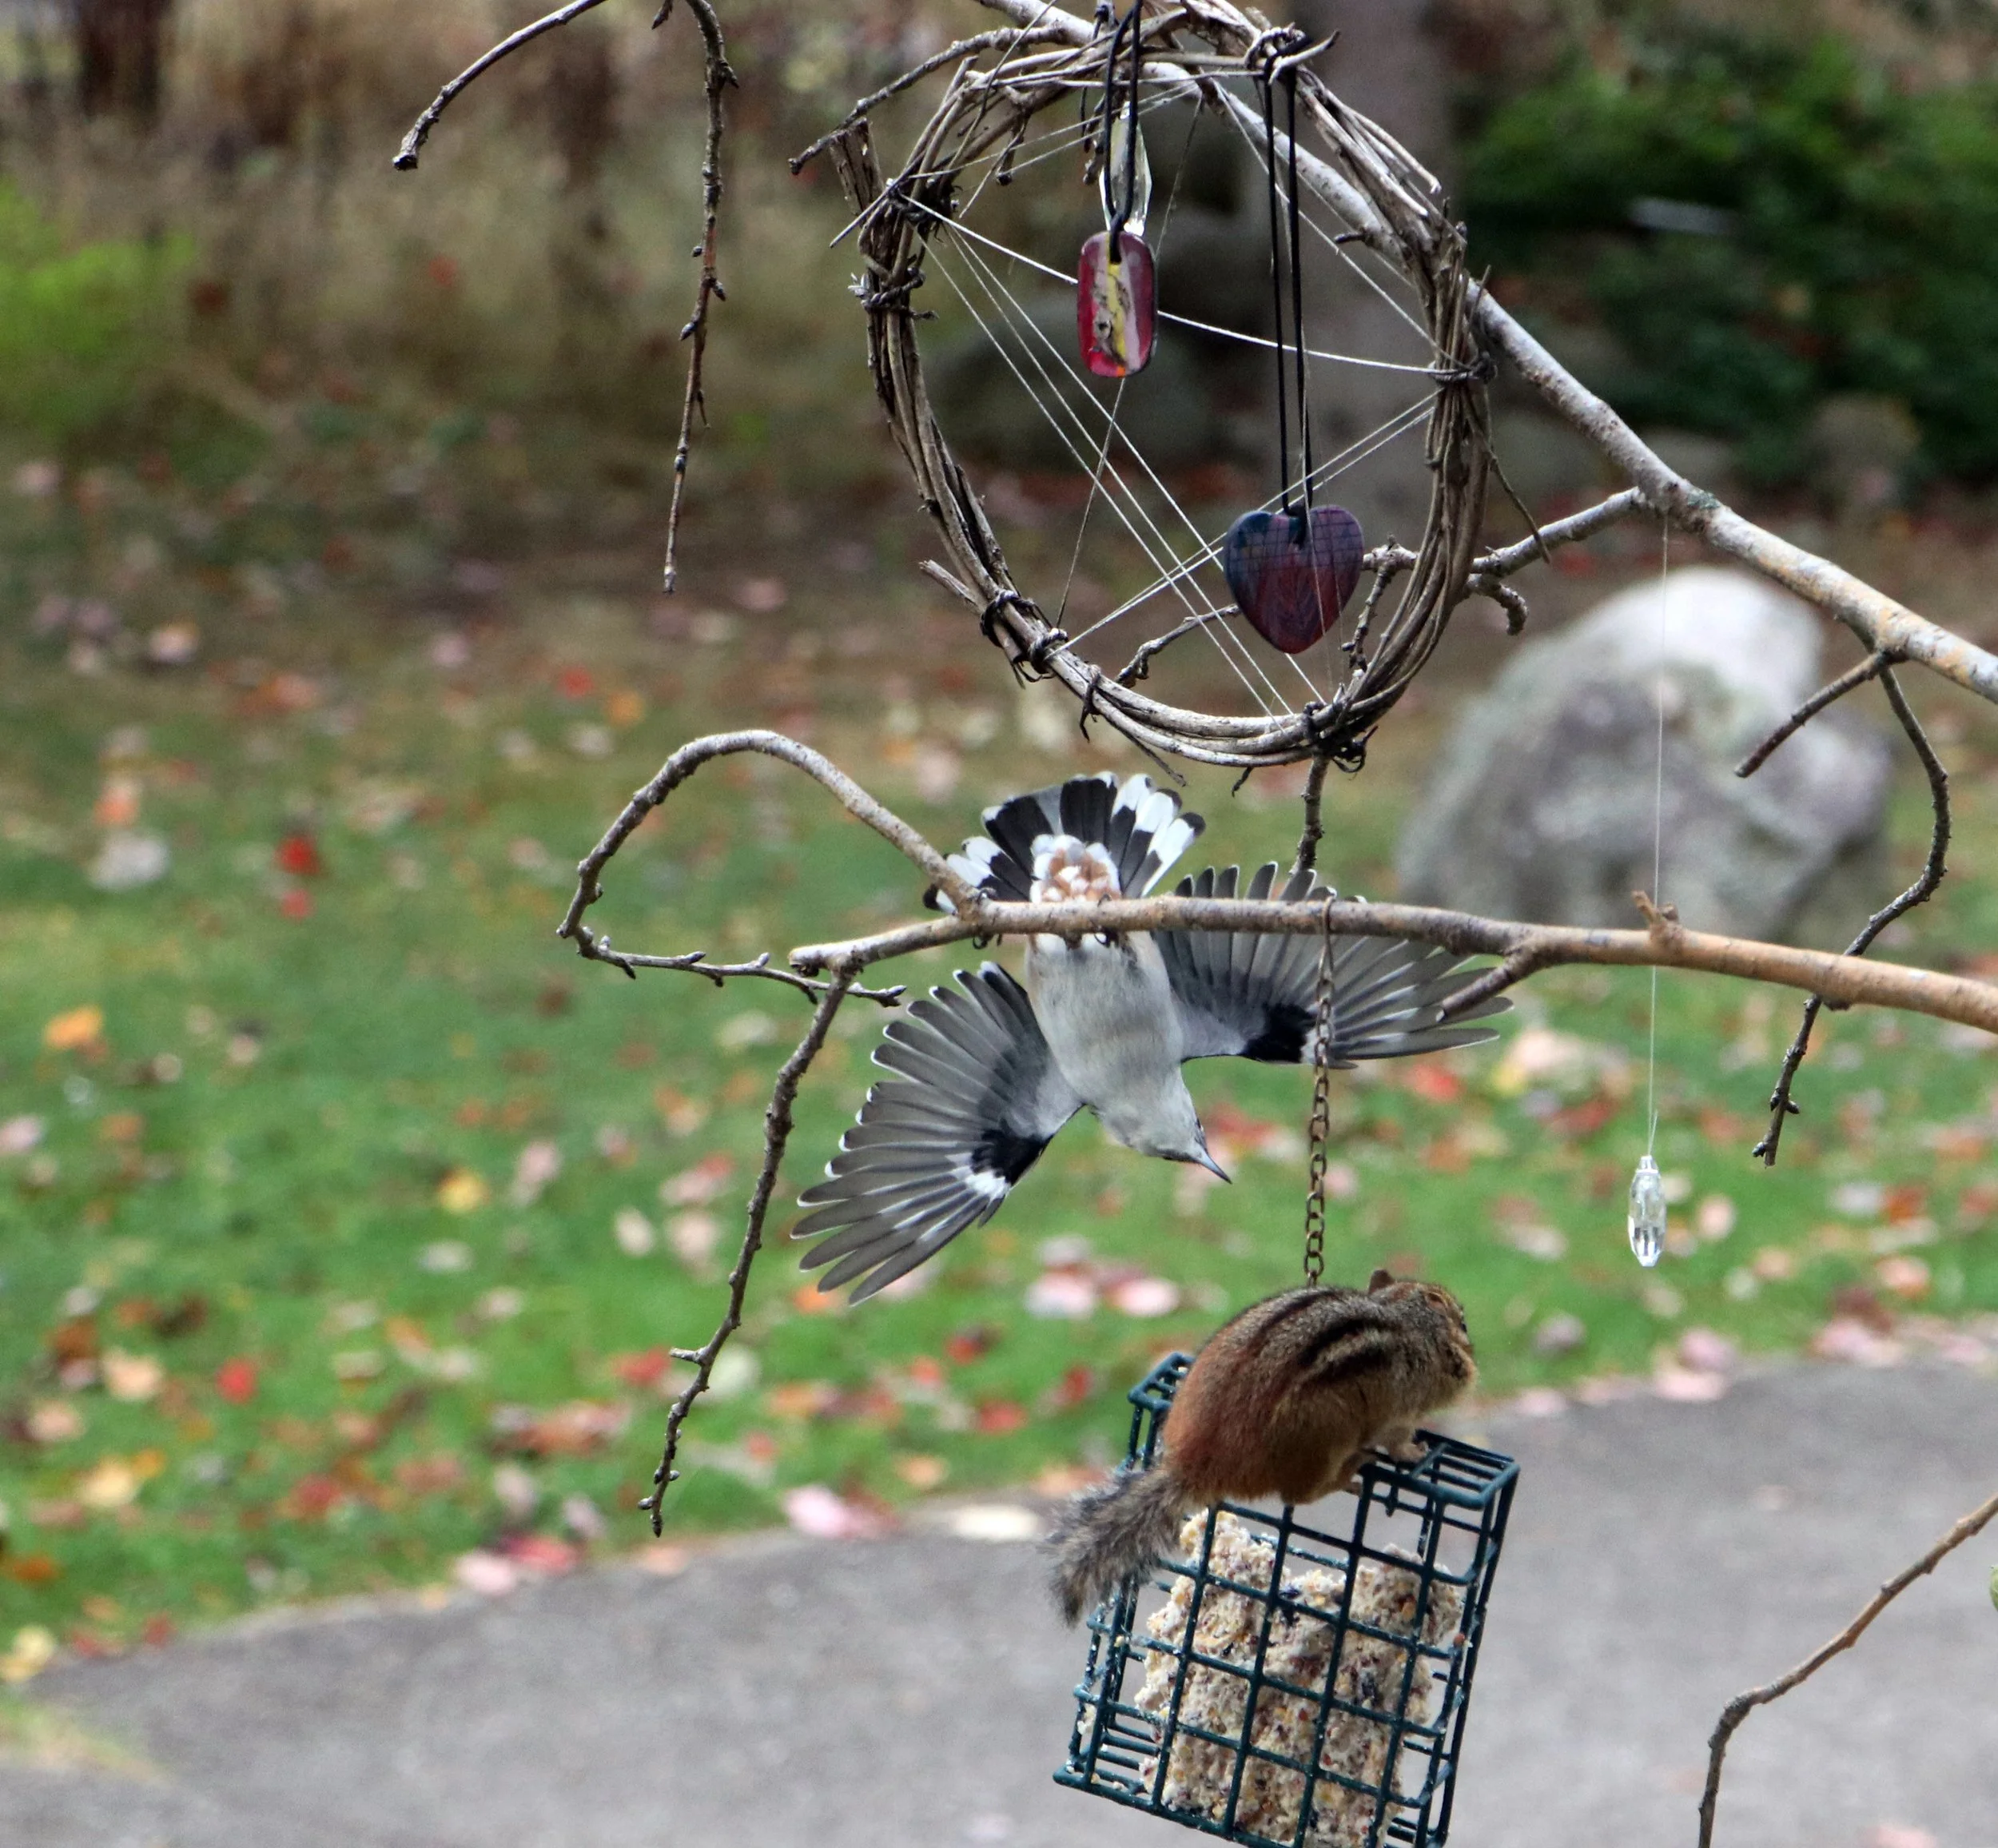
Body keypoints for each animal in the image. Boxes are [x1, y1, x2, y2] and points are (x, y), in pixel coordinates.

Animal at [1047, 1270, 1477, 1625]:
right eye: (1464, 1324)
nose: (1473, 1363)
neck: (1408, 1324)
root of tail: (1194, 1465)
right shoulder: (1399, 1413)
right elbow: (1397, 1440)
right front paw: (1414, 1453)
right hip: (1322, 1445)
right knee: (1300, 1494)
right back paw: (1350, 1470)